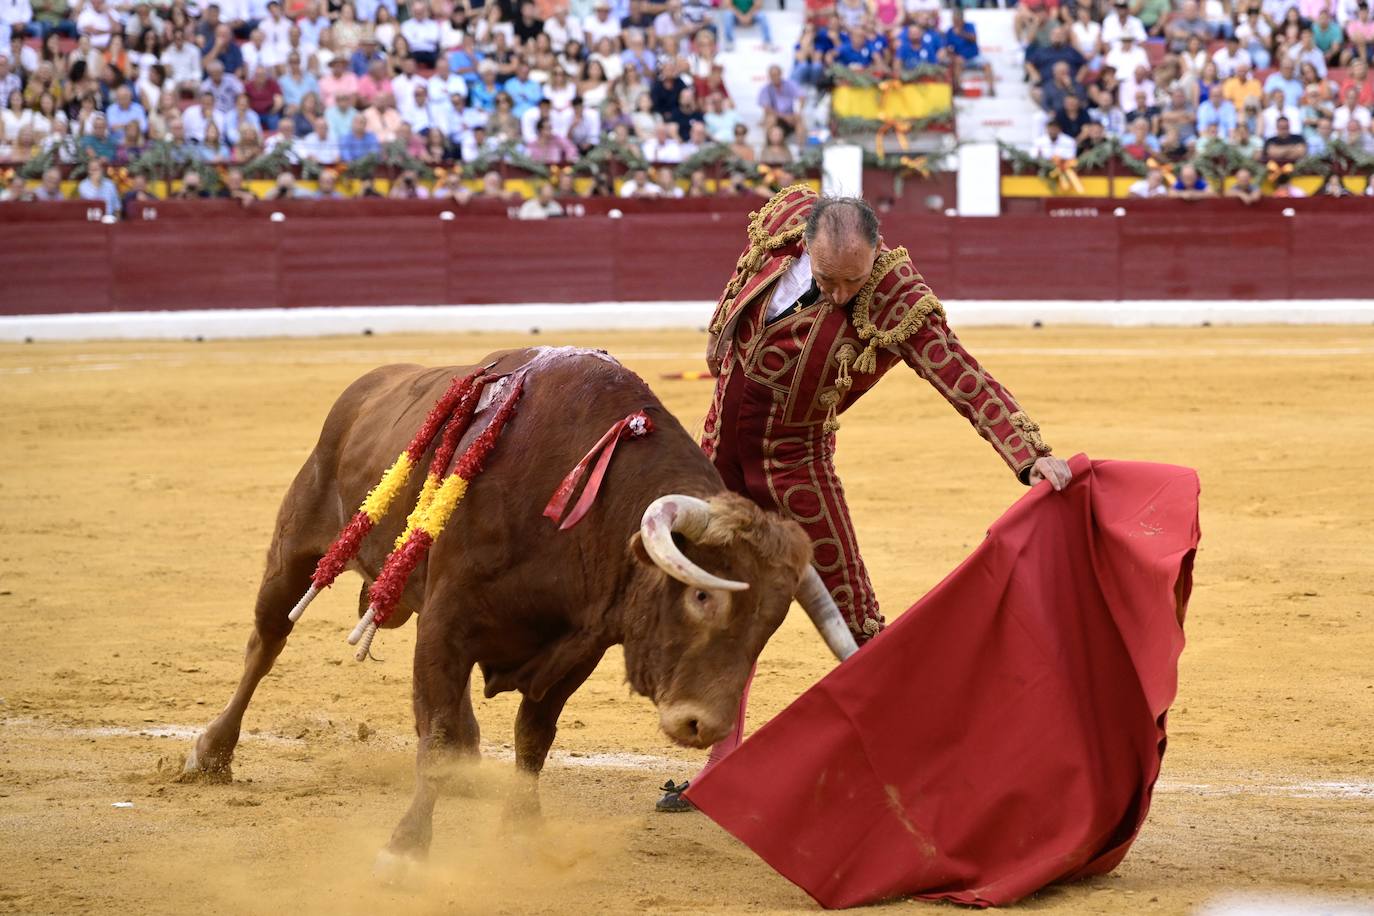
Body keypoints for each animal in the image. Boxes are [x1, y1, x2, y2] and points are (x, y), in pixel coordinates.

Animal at [177, 347, 851, 873]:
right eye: (702, 593)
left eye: (771, 622)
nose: (702, 726)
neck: (581, 500)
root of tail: (365, 387)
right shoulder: (446, 623)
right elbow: (435, 735)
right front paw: (405, 851)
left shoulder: (577, 646)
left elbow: (533, 737)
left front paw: (523, 835)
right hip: (297, 548)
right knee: (265, 644)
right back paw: (210, 754)